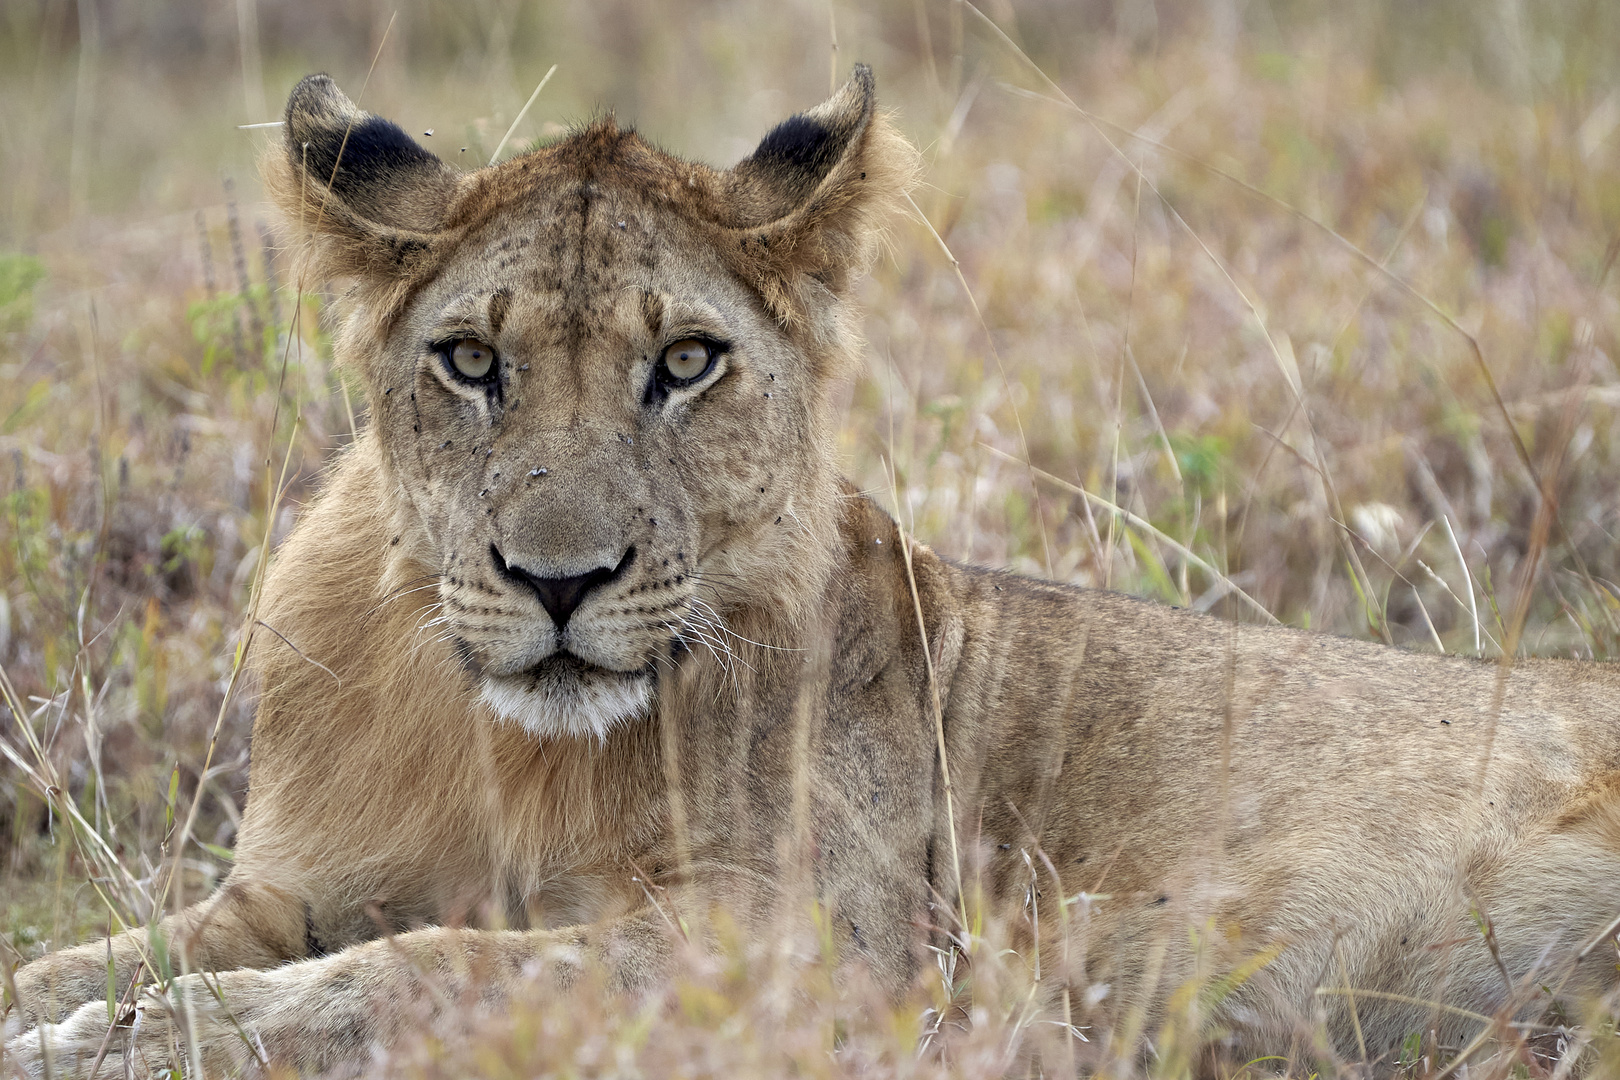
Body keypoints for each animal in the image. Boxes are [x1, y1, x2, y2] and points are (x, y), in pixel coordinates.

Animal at [3, 69, 1620, 1080]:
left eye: (685, 362)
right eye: (469, 361)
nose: (559, 582)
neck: (500, 752)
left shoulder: (821, 952)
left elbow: (437, 969)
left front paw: (137, 1042)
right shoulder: (297, 884)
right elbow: (108, 952)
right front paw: (79, 1010)